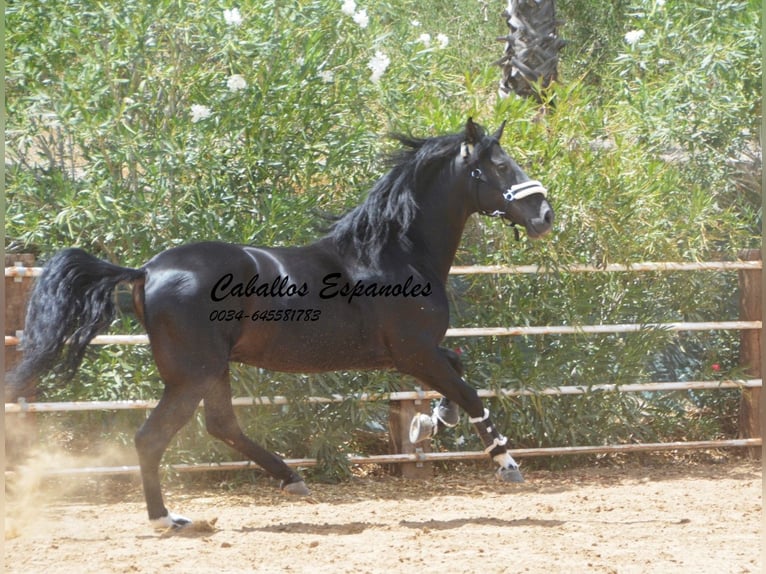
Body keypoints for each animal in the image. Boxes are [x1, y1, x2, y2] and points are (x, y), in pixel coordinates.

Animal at [7, 118, 560, 532]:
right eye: (500, 165)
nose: (545, 215)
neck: (393, 252)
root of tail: (147, 270)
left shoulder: (417, 354)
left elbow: (458, 372)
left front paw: (428, 423)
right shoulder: (412, 352)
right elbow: (466, 390)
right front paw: (506, 463)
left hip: (213, 370)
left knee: (221, 425)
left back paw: (291, 478)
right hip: (192, 374)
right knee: (152, 438)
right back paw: (168, 519)